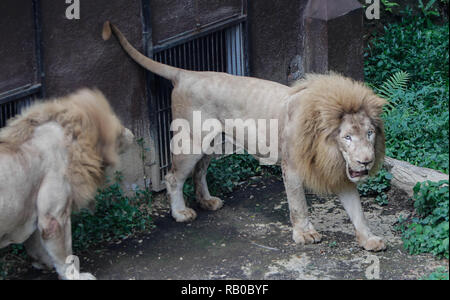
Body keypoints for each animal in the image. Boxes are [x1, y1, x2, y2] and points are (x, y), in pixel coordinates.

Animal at [0, 88, 134, 278]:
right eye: (119, 126)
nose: (132, 133)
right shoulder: (53, 217)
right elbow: (65, 252)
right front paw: (76, 275)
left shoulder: (34, 210)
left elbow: (35, 243)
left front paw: (43, 263)